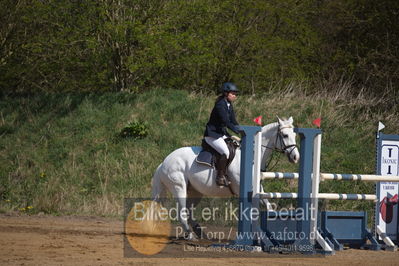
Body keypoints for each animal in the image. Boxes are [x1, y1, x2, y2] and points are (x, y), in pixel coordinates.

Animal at [152, 116, 298, 239]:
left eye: (295, 135)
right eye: (285, 135)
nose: (296, 157)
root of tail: (164, 162)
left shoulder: (258, 190)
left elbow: (268, 206)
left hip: (195, 191)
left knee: (189, 211)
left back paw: (201, 233)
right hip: (179, 187)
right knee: (181, 212)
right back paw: (190, 235)